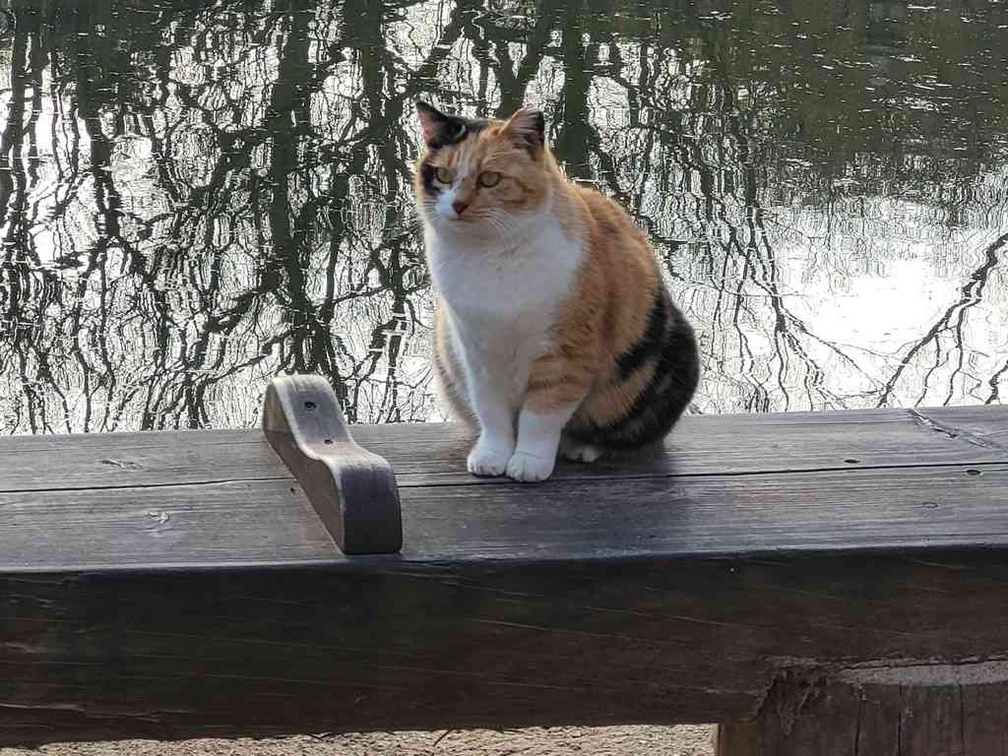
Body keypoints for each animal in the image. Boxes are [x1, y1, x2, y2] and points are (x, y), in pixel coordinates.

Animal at [413, 100, 697, 481]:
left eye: (490, 178)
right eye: (443, 176)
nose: (457, 205)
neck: (489, 257)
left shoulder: (565, 351)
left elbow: (542, 415)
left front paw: (528, 463)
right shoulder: (477, 353)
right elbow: (491, 413)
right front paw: (491, 457)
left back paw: (582, 448)